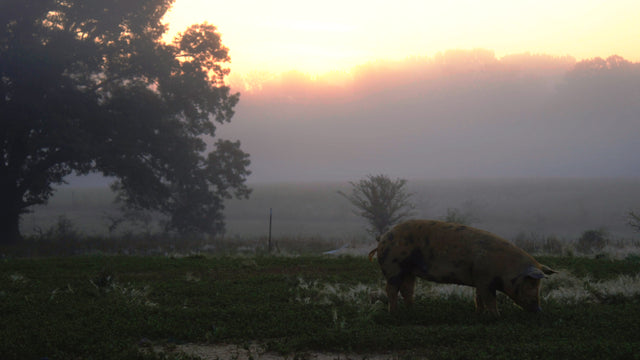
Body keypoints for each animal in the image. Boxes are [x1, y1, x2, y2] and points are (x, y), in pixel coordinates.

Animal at [368, 218, 556, 314]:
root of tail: (382, 239)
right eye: (531, 284)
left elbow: (479, 297)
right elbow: (490, 299)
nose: (540, 311)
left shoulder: (480, 279)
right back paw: (394, 313)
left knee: (407, 289)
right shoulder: (485, 279)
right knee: (391, 289)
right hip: (393, 266)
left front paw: (480, 314)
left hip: (408, 270)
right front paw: (496, 316)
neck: (505, 267)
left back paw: (412, 310)